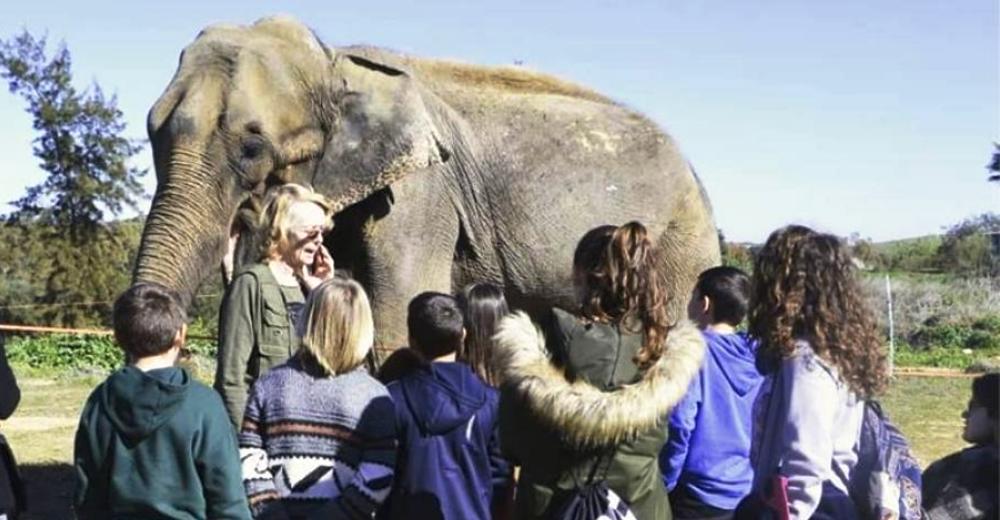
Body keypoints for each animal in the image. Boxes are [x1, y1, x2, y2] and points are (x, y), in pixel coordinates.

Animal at [137, 15, 724, 350]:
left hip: (681, 245)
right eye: (150, 128)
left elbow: (398, 310)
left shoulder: (423, 194)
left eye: (253, 147)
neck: (335, 61)